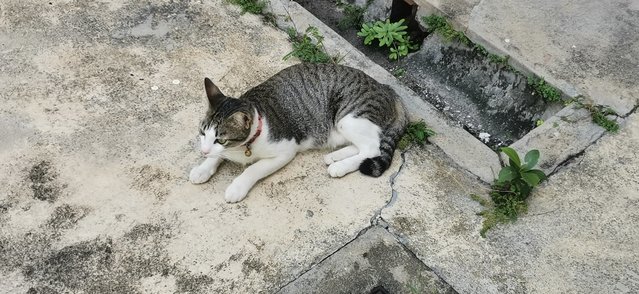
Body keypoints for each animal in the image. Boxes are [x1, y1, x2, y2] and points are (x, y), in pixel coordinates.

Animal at [191, 63, 410, 202]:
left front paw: (237, 187)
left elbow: (253, 169)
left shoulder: (286, 151)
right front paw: (203, 168)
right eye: (202, 133)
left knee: (372, 148)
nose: (202, 151)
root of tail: (388, 89)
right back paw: (335, 156)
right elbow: (217, 157)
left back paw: (339, 166)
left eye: (220, 139)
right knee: (362, 145)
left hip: (348, 118)